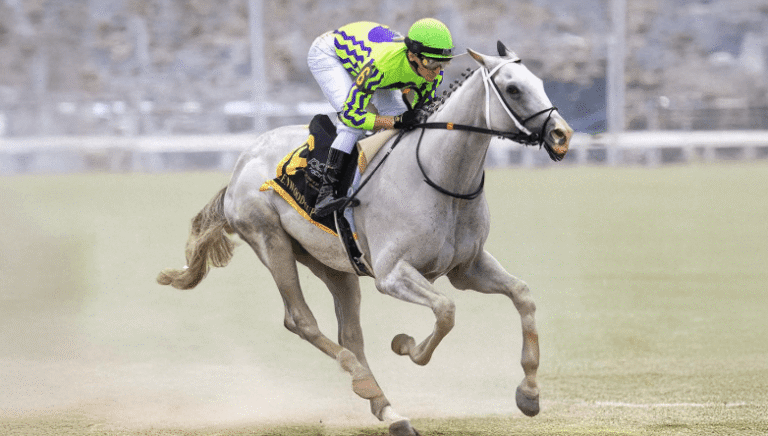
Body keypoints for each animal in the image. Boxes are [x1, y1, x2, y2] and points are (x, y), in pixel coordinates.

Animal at [157, 42, 573, 436]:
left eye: (540, 81)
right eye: (514, 88)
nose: (562, 135)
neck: (440, 178)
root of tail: (241, 164)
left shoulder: (466, 268)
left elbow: (522, 295)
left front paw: (529, 394)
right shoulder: (392, 274)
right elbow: (445, 311)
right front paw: (406, 345)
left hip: (331, 263)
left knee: (350, 334)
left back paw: (389, 411)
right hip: (270, 241)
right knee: (301, 320)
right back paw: (364, 382)